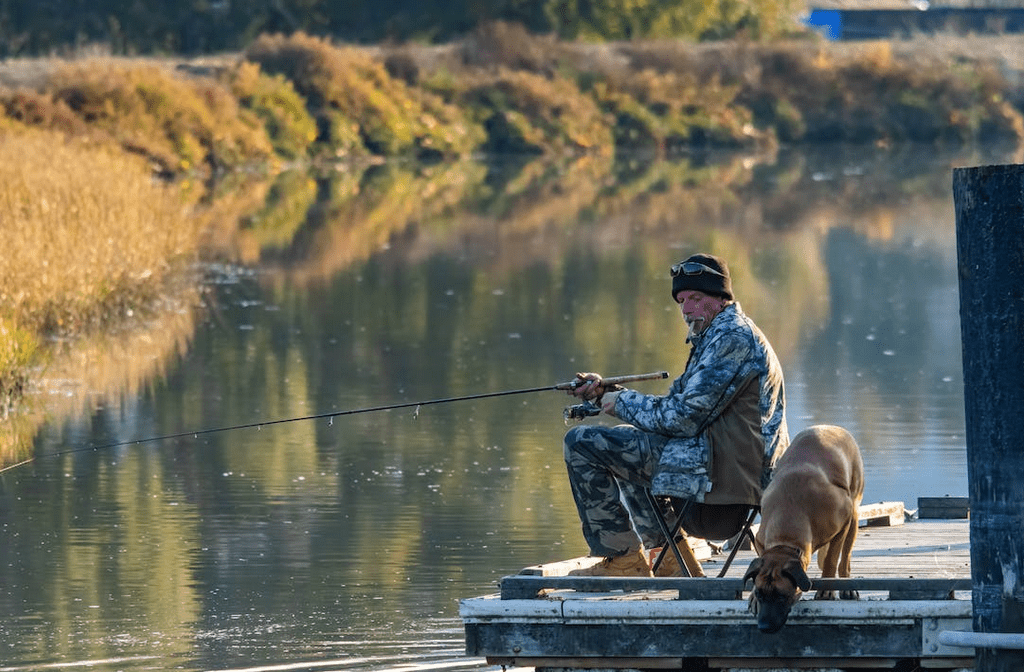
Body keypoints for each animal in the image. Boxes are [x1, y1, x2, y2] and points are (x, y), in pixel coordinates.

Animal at [745, 426, 864, 635]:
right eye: (760, 594)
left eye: (781, 596)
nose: (764, 627)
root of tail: (832, 427)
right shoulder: (759, 539)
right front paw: (752, 596)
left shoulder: (844, 518)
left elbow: (832, 558)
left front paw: (826, 589)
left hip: (854, 514)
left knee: (845, 557)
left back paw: (846, 585)